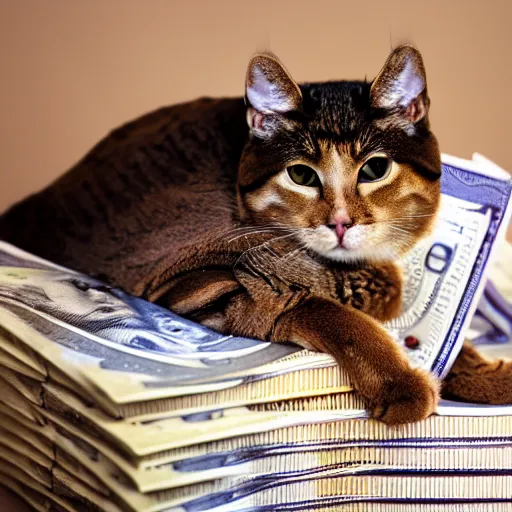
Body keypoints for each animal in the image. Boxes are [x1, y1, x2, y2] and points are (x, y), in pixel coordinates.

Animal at [1, 45, 512, 424]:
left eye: (375, 168)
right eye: (301, 175)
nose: (340, 222)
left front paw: (486, 373)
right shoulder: (195, 287)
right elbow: (326, 311)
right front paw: (399, 383)